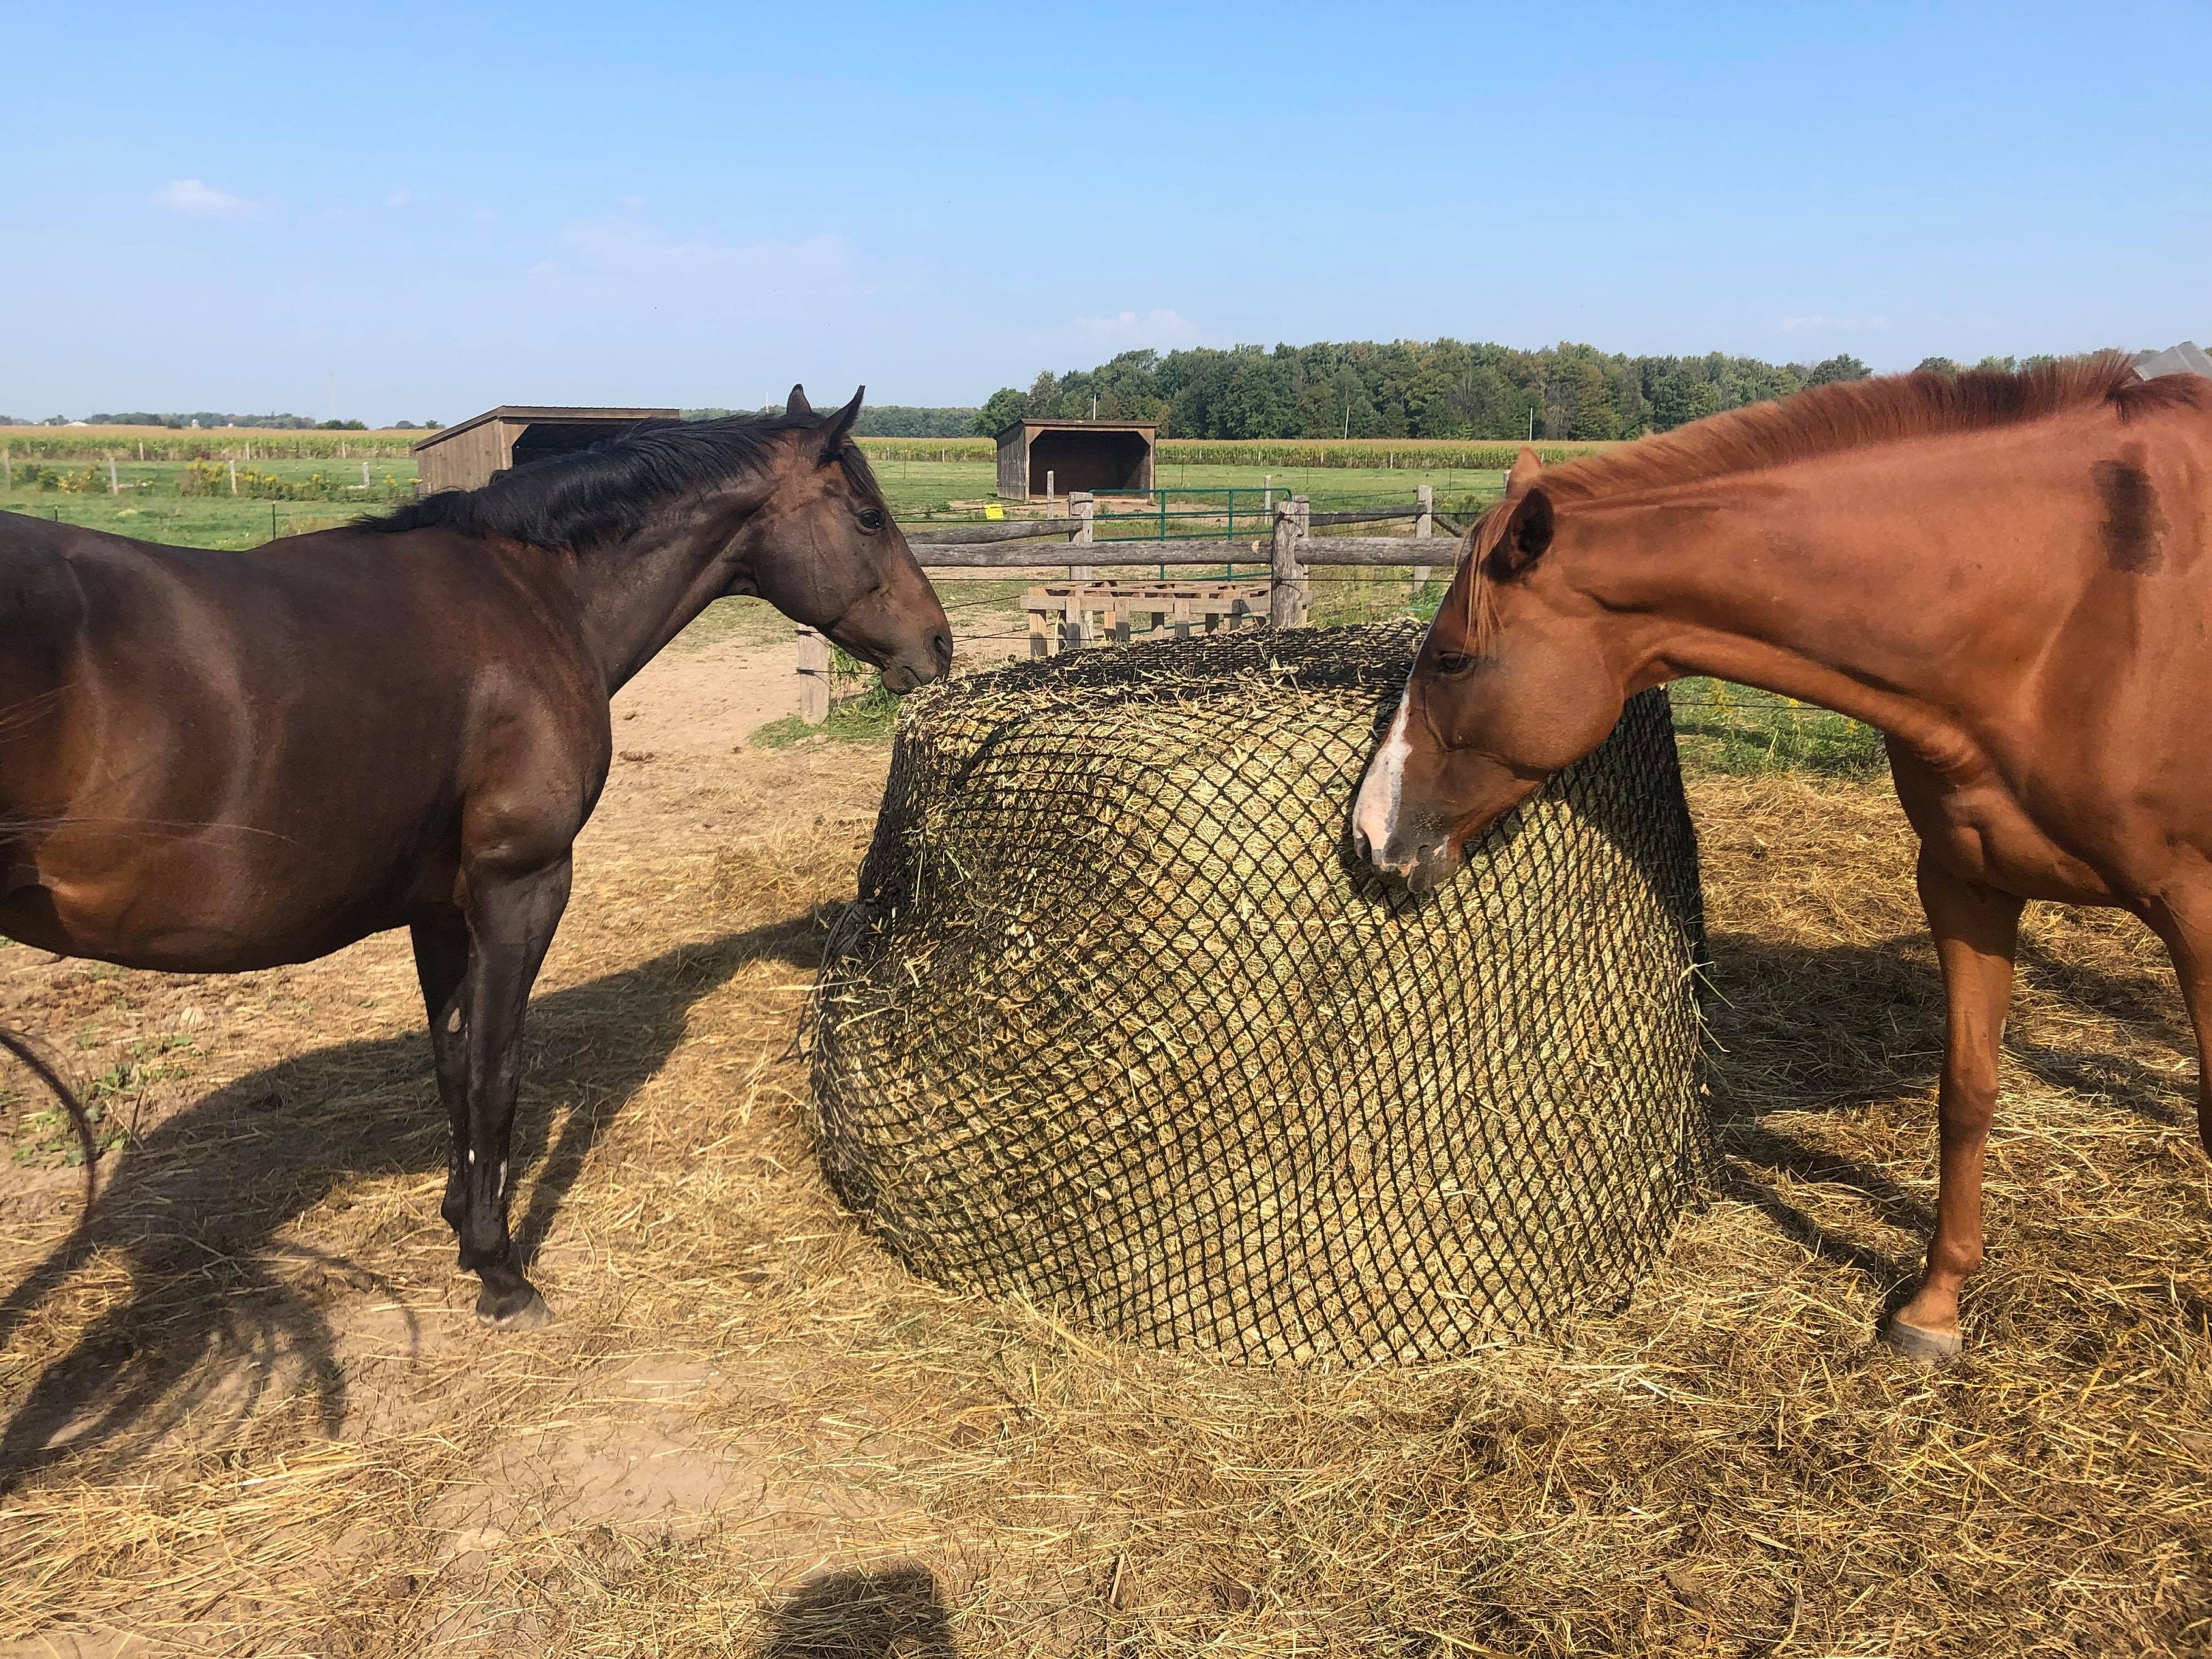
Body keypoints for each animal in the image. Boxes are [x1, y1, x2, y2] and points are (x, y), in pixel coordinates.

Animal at [0, 385, 951, 1328]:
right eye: (869, 517)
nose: (938, 645)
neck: (535, 594)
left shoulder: (441, 907)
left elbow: (453, 1061)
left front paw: (460, 1218)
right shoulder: (519, 884)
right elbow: (498, 1071)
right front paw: (499, 1268)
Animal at [1352, 355, 2212, 1360]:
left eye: (1451, 658)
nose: (1369, 834)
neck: (2077, 606)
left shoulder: (2197, 915)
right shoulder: (1967, 884)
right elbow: (1966, 1092)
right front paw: (1935, 1306)